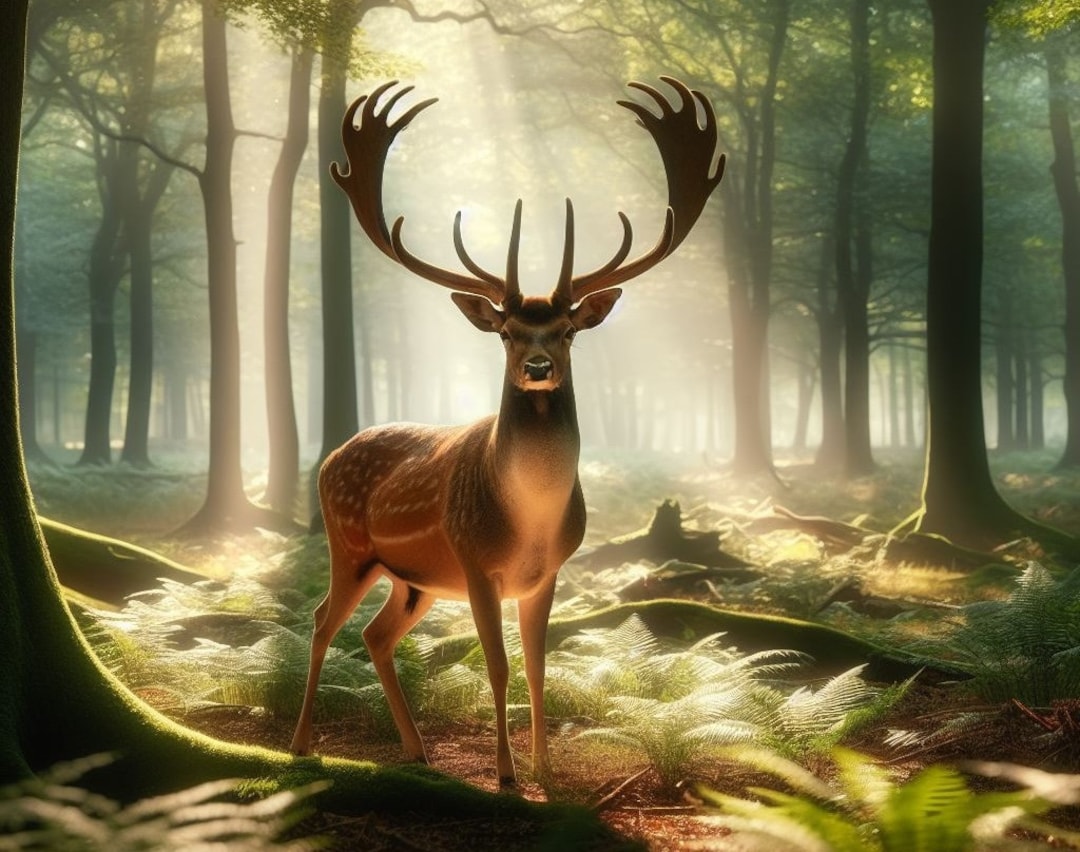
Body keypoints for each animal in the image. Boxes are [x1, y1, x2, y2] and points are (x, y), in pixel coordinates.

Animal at [290, 76, 724, 787]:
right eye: (505, 332)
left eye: (568, 330)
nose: (538, 366)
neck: (530, 520)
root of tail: (330, 457)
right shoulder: (475, 563)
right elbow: (495, 667)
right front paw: (505, 774)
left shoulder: (547, 574)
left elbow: (541, 666)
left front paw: (545, 769)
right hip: (349, 543)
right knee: (324, 619)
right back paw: (302, 743)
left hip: (412, 579)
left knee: (375, 634)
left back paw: (416, 749)